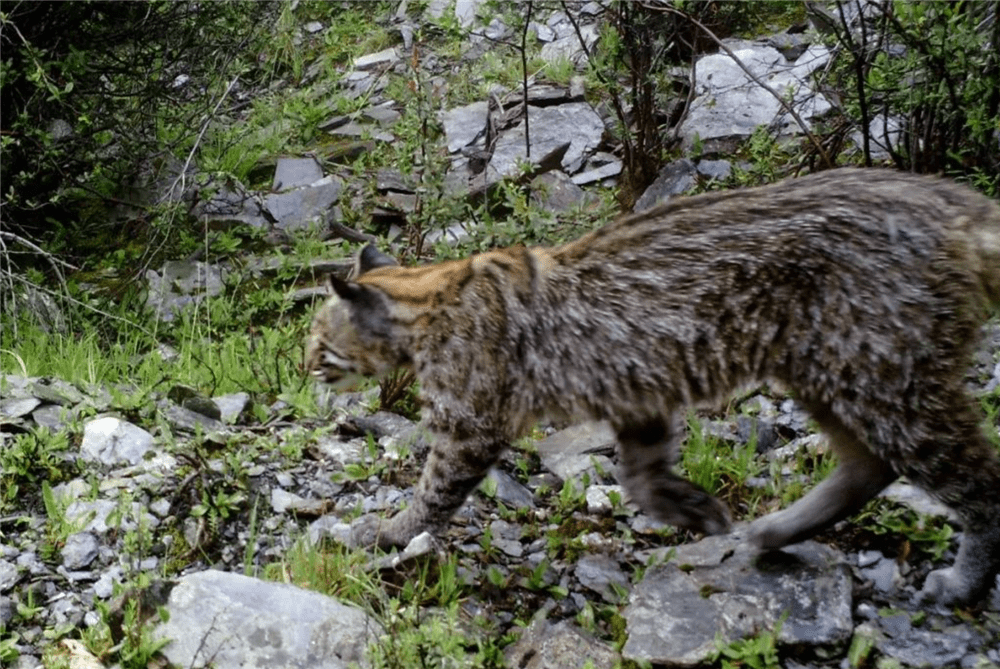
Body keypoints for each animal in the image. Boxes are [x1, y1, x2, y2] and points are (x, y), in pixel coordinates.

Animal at [304, 168, 1000, 604]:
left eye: (316, 341)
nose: (304, 366)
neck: (427, 297)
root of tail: (954, 202)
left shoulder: (471, 424)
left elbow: (432, 492)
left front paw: (382, 533)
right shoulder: (637, 397)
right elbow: (639, 476)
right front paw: (688, 508)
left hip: (884, 379)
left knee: (975, 481)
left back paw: (962, 583)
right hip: (829, 372)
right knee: (868, 466)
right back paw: (773, 533)